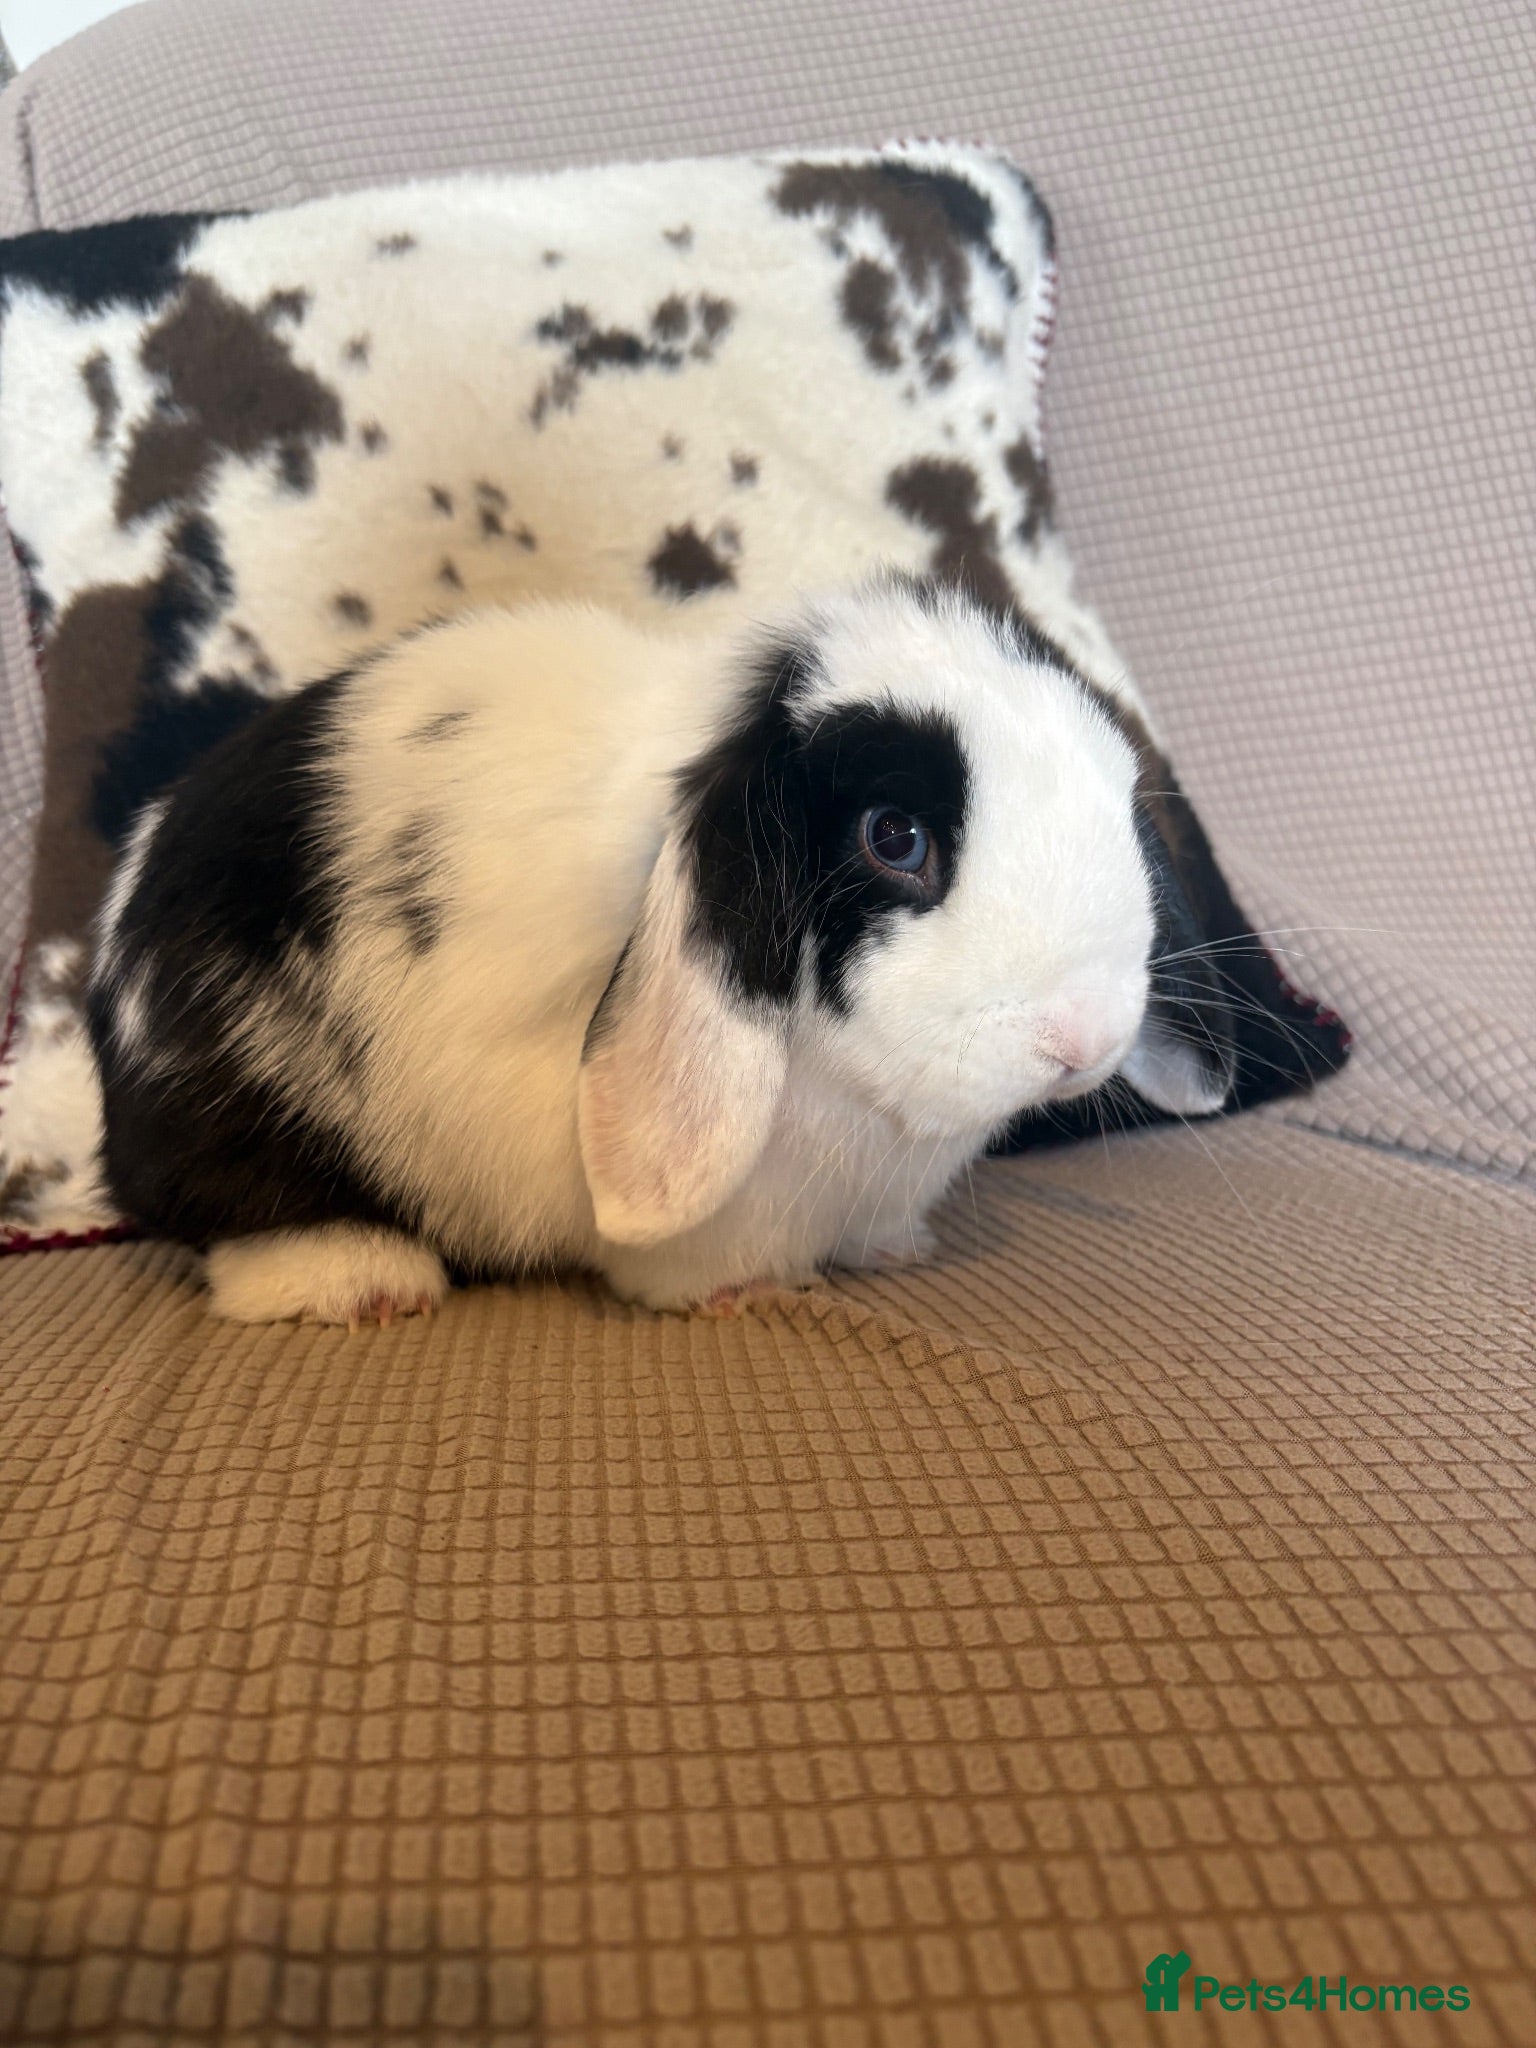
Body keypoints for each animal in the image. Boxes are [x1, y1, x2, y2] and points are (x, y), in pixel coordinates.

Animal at [85, 576, 1232, 1325]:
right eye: (895, 837)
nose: (1082, 1036)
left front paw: (895, 1249)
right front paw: (748, 1291)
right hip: (237, 1109)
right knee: (231, 1217)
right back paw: (358, 1282)